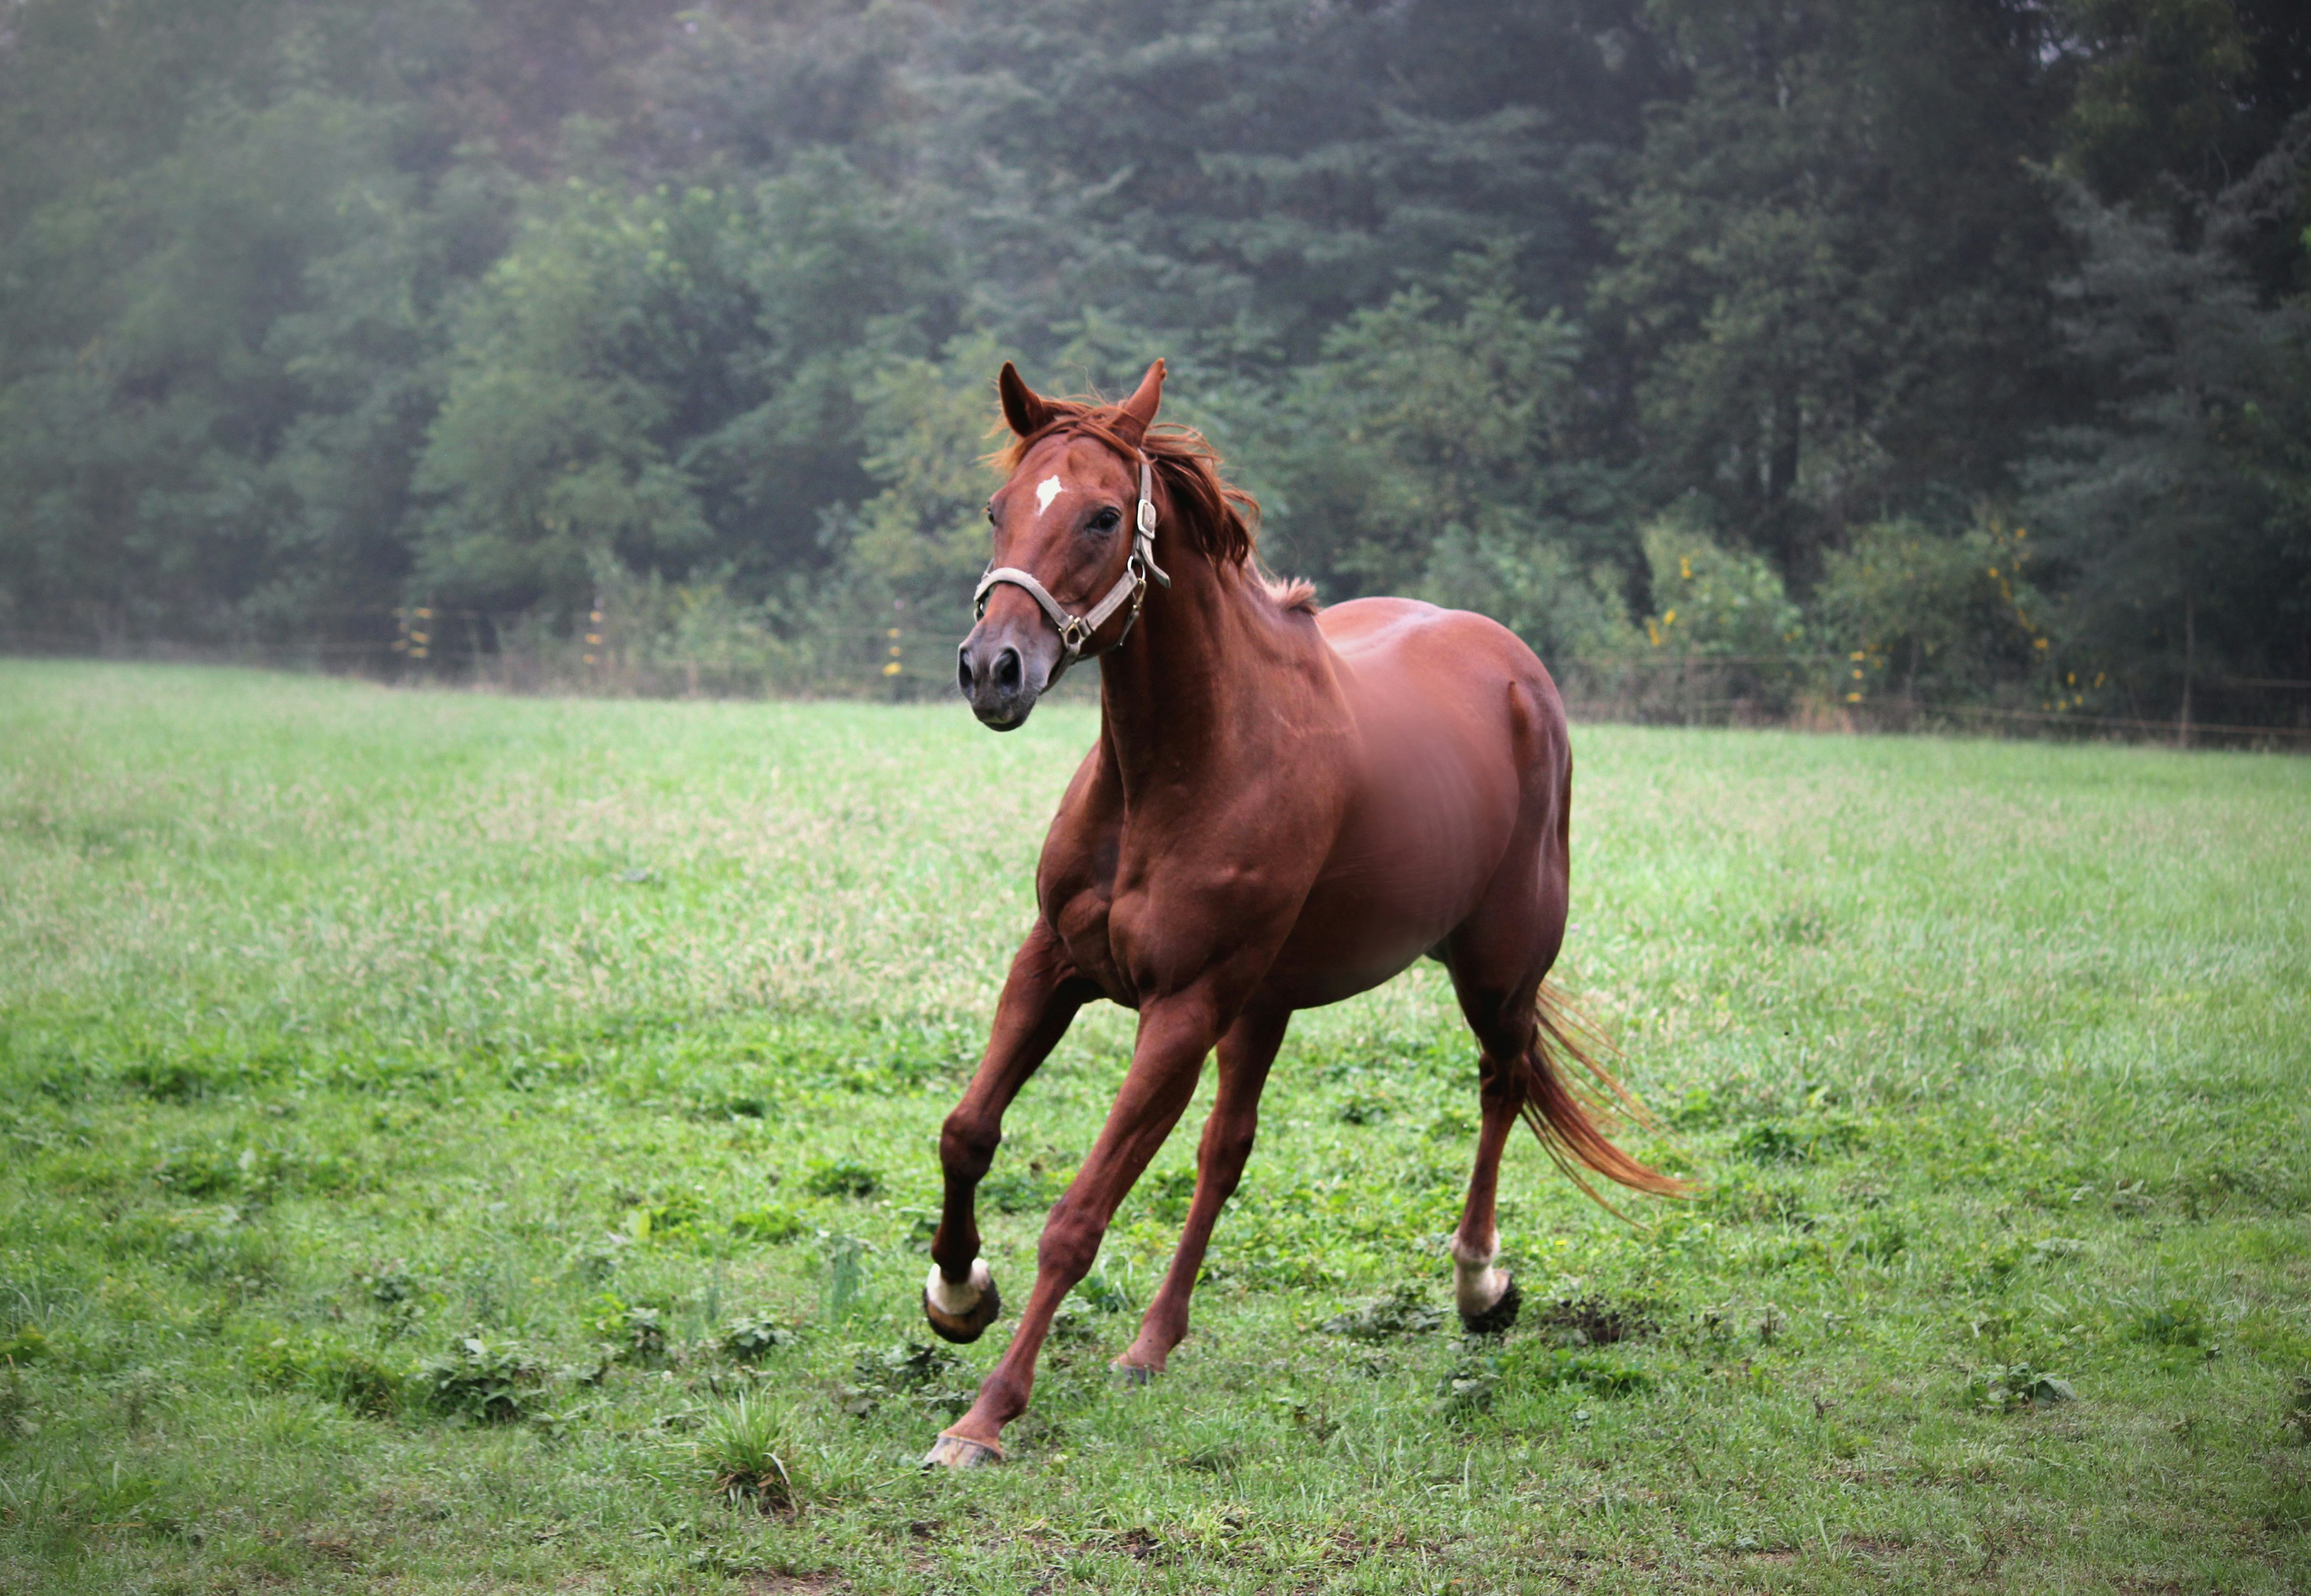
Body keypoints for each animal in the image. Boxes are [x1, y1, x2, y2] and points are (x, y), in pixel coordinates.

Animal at [922, 358, 1680, 1468]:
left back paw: (1478, 1282)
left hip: (1494, 973)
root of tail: (1515, 668)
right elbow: (967, 1132)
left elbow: (1077, 1216)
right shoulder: (1053, 963)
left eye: (1102, 516)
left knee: (1500, 1088)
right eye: (997, 508)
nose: (992, 669)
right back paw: (1152, 1342)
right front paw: (958, 1291)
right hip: (1267, 1004)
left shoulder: (1181, 1009)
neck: (1183, 764)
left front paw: (985, 1415)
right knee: (1226, 1151)